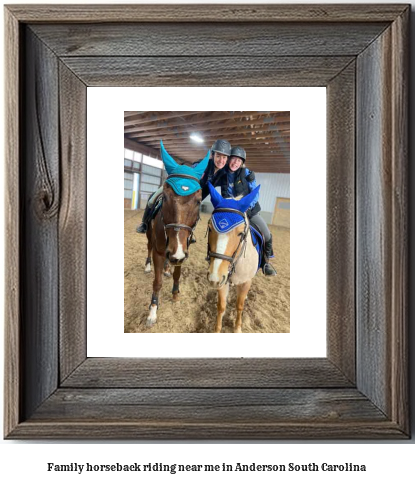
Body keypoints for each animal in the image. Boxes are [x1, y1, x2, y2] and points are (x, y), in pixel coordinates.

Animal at [206, 181, 262, 334]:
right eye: (210, 228)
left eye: (241, 233)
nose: (214, 277)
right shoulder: (222, 281)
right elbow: (221, 306)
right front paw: (217, 330)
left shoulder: (245, 282)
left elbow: (239, 306)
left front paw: (237, 328)